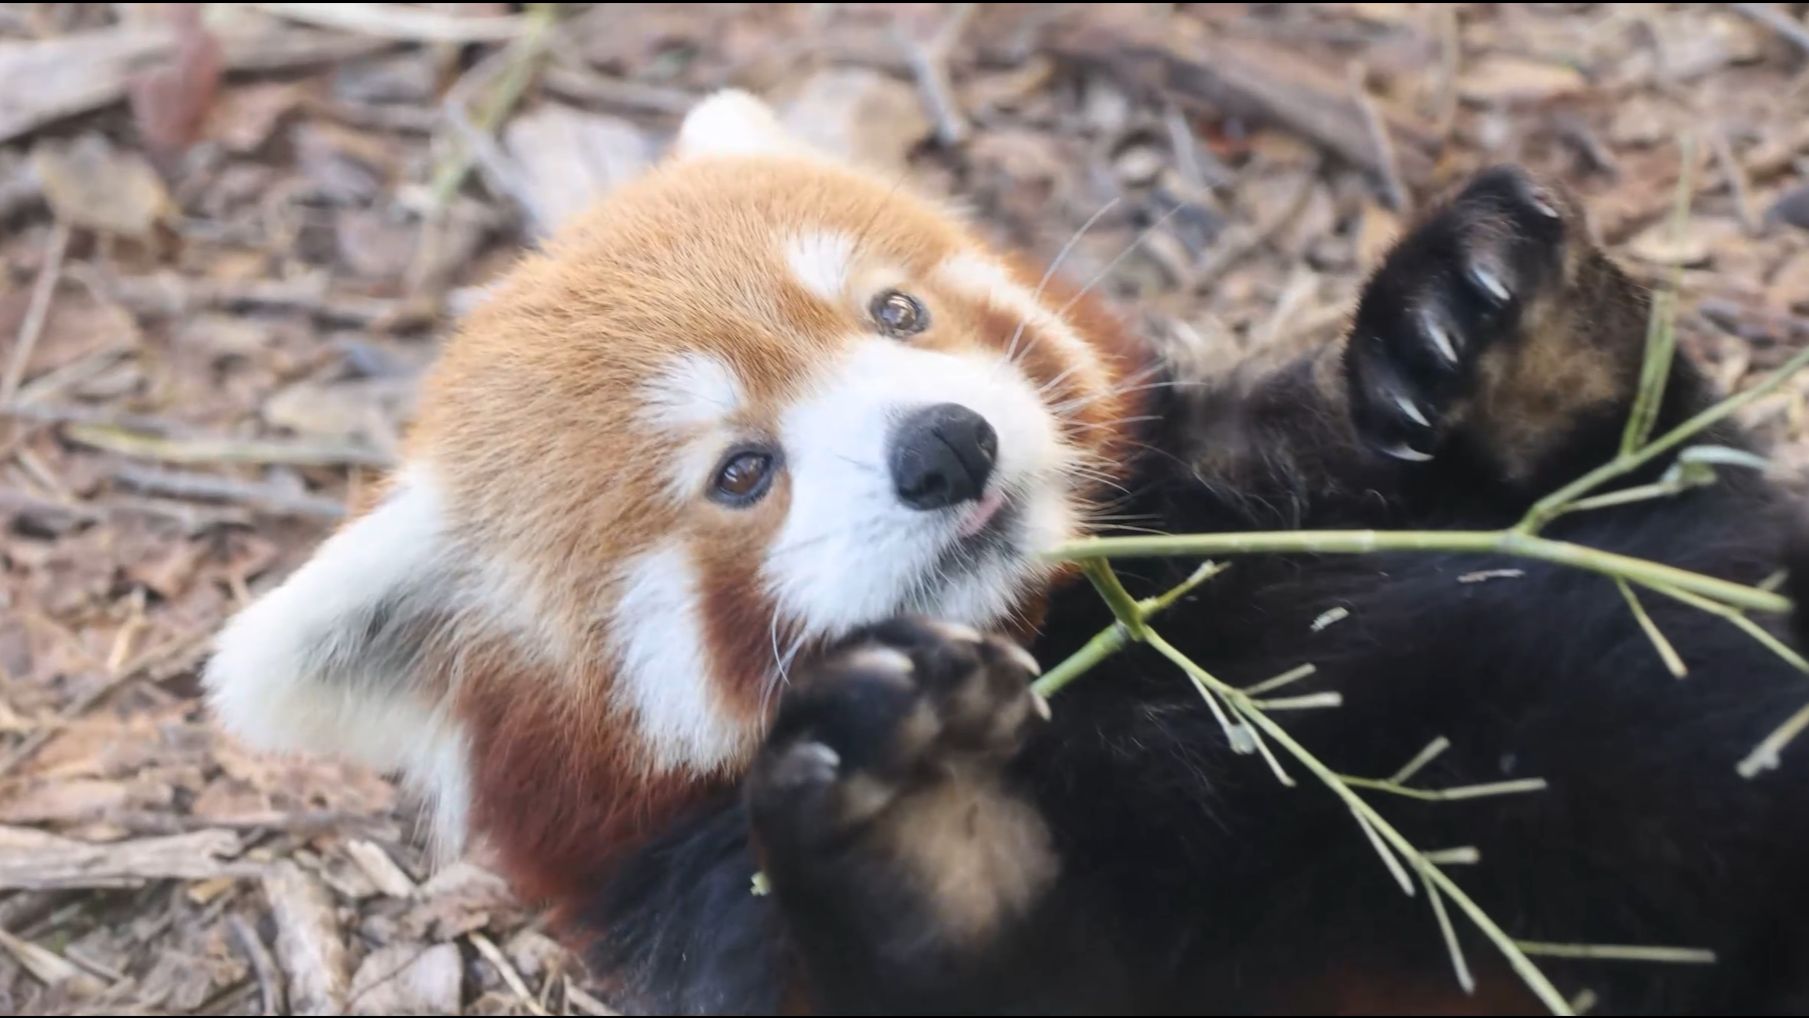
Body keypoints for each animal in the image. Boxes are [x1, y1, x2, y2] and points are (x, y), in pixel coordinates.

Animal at [201, 91, 1809, 1012]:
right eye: (741, 471)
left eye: (897, 313)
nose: (947, 447)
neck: (1065, 633)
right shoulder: (714, 913)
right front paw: (914, 814)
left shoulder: (1234, 486)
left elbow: (1656, 497)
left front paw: (1496, 328)